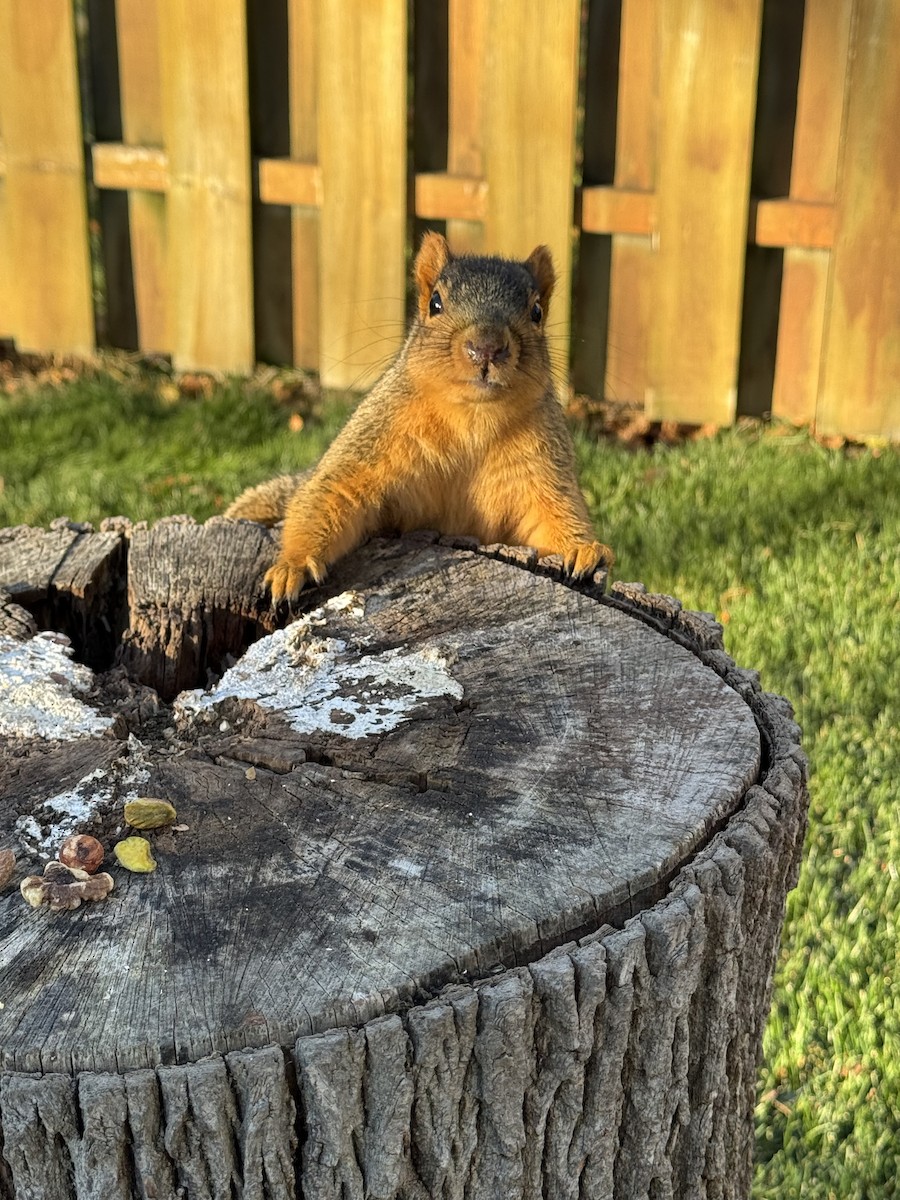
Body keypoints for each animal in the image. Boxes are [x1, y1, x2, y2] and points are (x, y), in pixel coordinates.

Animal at [226, 232, 613, 603]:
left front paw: (583, 550)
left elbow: (554, 515)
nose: (486, 347)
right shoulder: (375, 435)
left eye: (536, 312)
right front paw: (292, 567)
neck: (473, 416)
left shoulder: (544, 470)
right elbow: (332, 492)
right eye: (435, 303)